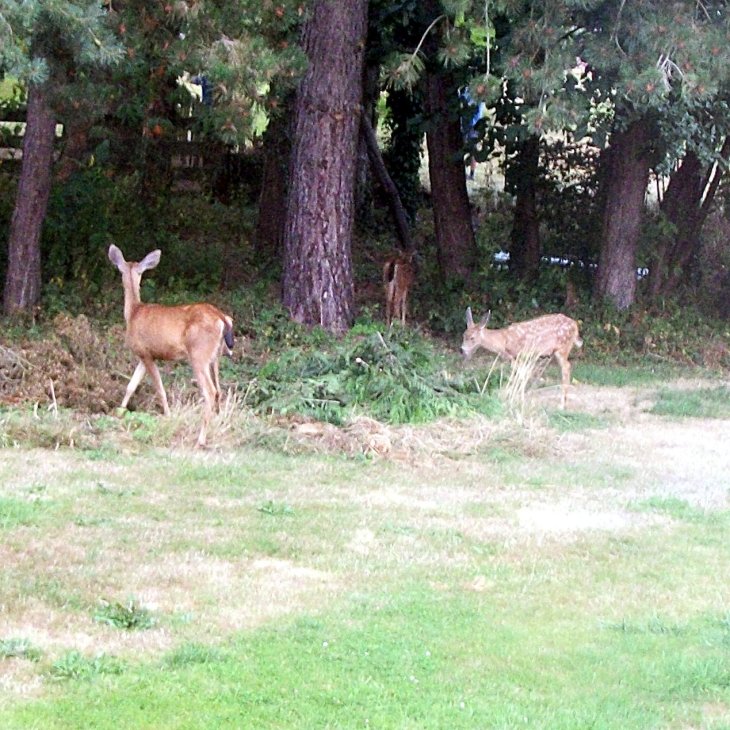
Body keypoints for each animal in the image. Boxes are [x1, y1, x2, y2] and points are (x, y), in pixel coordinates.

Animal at [108, 244, 234, 447]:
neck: (133, 312)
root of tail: (222, 318)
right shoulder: (143, 356)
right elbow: (131, 385)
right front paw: (119, 412)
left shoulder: (146, 353)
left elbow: (159, 388)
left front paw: (168, 416)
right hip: (216, 356)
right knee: (219, 390)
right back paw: (217, 425)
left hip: (199, 354)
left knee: (210, 391)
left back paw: (200, 439)